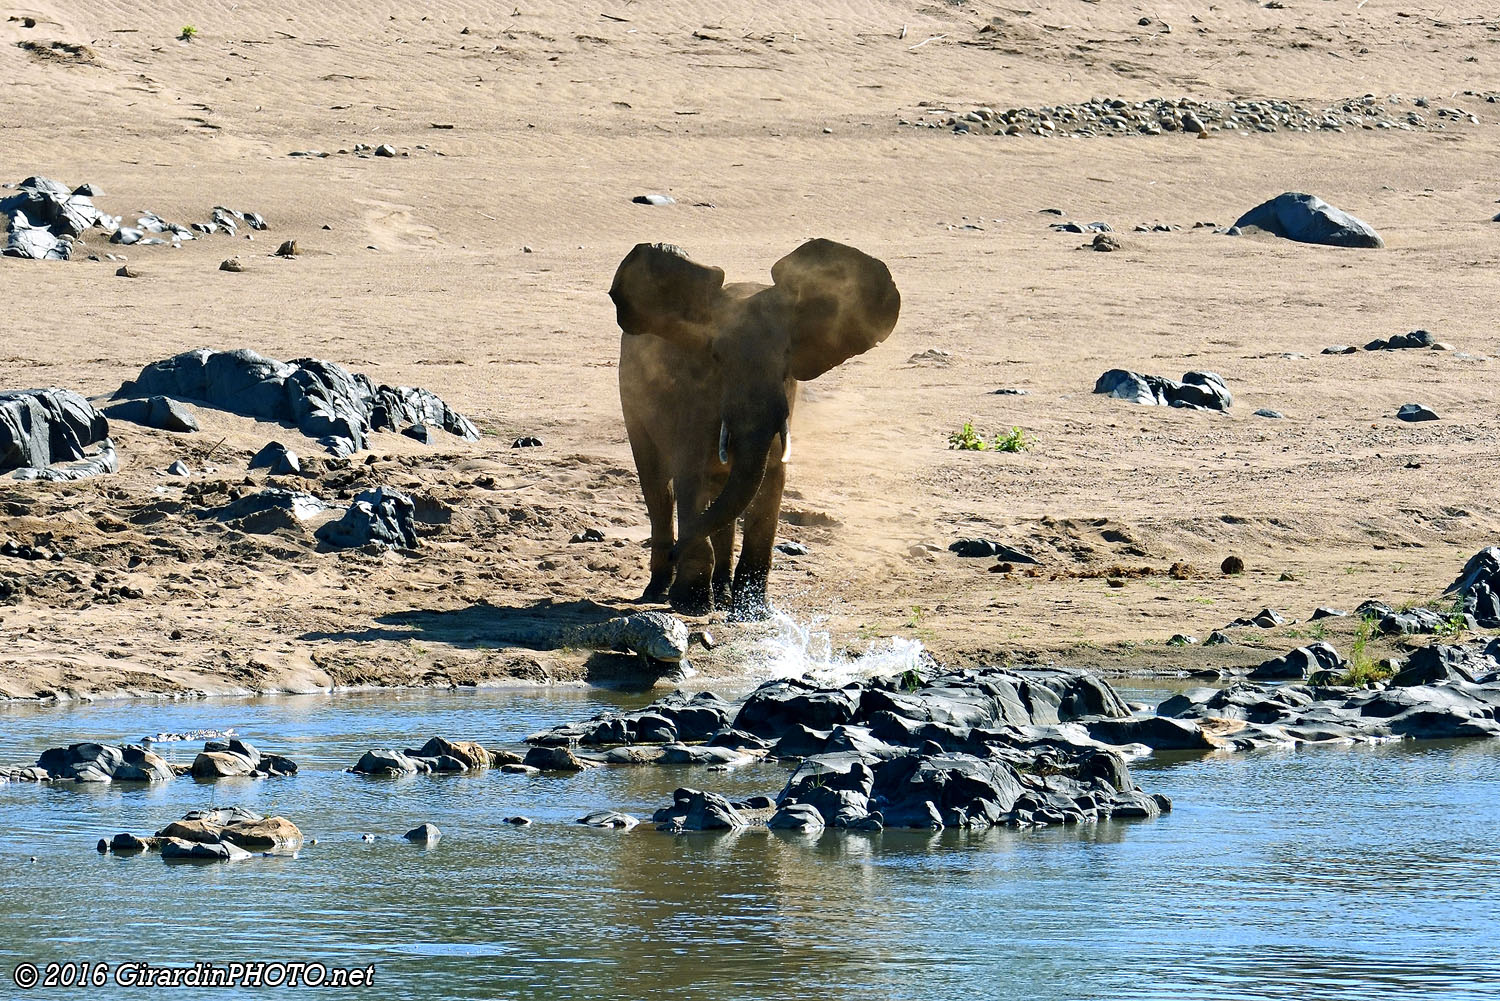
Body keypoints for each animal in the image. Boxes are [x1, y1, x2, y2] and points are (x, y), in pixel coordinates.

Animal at [609, 238, 900, 620]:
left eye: (788, 358)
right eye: (717, 359)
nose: (676, 550)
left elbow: (770, 484)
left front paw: (754, 612)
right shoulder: (689, 401)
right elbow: (690, 480)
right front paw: (692, 604)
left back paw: (720, 593)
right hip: (631, 399)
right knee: (658, 486)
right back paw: (659, 591)